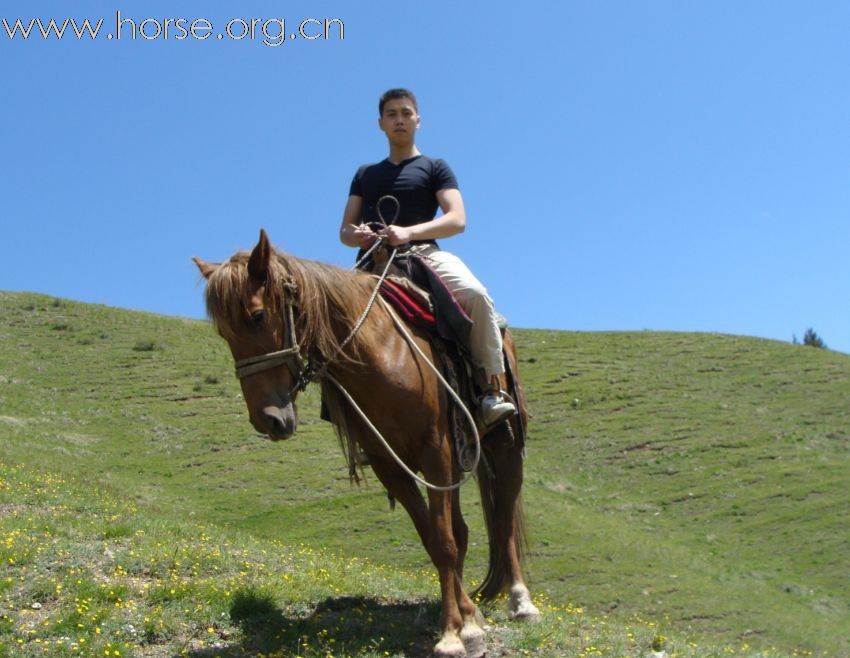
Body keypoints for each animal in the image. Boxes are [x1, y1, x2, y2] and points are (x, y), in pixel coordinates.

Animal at [194, 229, 536, 656]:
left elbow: (445, 541)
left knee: (504, 517)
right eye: (224, 333)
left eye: (256, 316)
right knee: (464, 528)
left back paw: (521, 601)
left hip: (505, 445)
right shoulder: (391, 465)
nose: (268, 420)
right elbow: (436, 539)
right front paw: (466, 620)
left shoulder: (435, 451)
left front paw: (454, 634)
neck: (382, 354)